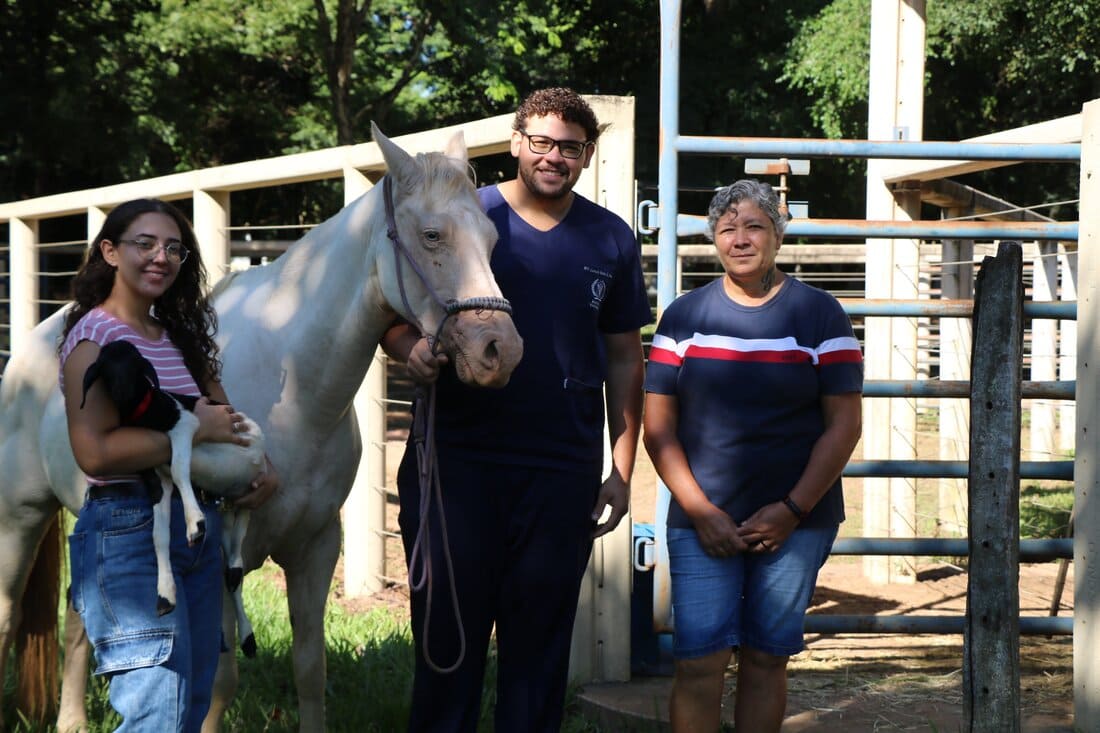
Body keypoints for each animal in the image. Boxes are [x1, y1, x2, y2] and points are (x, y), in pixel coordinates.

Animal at [0, 122, 523, 726]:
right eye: (432, 235)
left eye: (491, 238)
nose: (500, 351)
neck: (294, 389)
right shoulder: (227, 551)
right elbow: (220, 681)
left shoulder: (317, 547)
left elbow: (310, 669)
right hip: (20, 516)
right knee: (9, 615)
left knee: (81, 615)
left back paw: (72, 721)